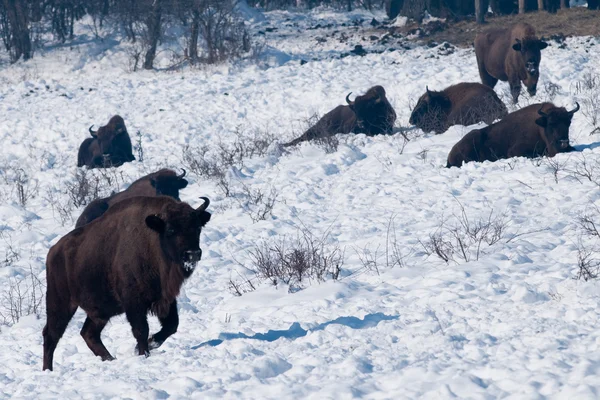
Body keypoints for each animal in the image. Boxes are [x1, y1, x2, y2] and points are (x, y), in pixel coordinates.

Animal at [42, 195, 211, 370]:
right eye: (171, 230)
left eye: (198, 228)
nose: (192, 254)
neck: (153, 240)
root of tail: (53, 252)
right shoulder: (134, 302)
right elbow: (141, 330)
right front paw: (143, 353)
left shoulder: (166, 298)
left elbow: (171, 325)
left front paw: (148, 345)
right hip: (61, 304)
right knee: (51, 335)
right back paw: (48, 370)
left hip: (100, 311)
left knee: (88, 333)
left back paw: (110, 358)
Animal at [448, 101, 580, 169]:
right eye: (551, 123)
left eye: (568, 123)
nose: (563, 142)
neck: (540, 127)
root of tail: (451, 152)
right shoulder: (515, 151)